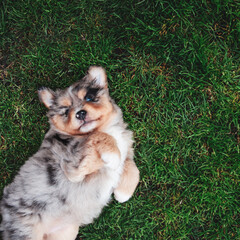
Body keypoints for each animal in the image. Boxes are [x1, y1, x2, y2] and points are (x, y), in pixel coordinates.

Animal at [0, 66, 140, 240]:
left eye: (89, 97)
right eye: (66, 111)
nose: (80, 113)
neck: (106, 127)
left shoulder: (126, 146)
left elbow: (131, 165)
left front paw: (124, 192)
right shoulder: (73, 168)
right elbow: (98, 137)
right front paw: (113, 157)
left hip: (66, 233)